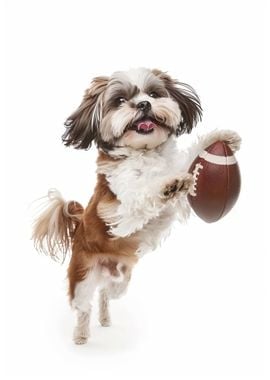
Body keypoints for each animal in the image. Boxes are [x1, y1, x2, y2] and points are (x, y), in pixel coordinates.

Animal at [32, 67, 240, 344]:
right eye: (120, 100)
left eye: (153, 94)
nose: (143, 104)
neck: (145, 153)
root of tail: (77, 230)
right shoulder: (119, 212)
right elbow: (143, 194)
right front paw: (168, 185)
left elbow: (189, 162)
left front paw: (218, 138)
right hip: (83, 277)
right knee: (84, 307)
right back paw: (81, 334)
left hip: (120, 281)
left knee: (106, 294)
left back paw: (105, 318)